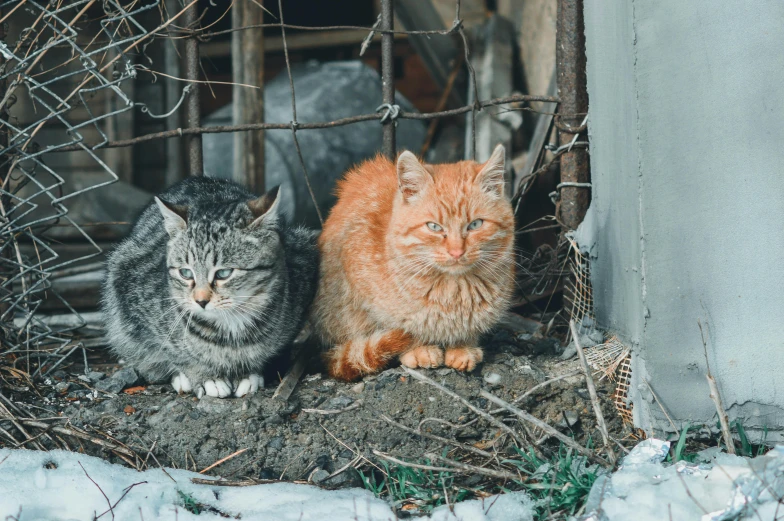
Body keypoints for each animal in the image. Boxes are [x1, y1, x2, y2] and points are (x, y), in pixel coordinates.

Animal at [103, 177, 318, 396]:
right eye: (186, 273)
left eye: (223, 273)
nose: (201, 300)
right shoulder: (130, 291)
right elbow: (172, 351)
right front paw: (205, 376)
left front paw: (249, 372)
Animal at [312, 144, 516, 380]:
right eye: (434, 227)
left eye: (475, 224)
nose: (456, 251)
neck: (453, 290)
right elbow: (399, 328)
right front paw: (419, 348)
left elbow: (469, 328)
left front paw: (463, 347)